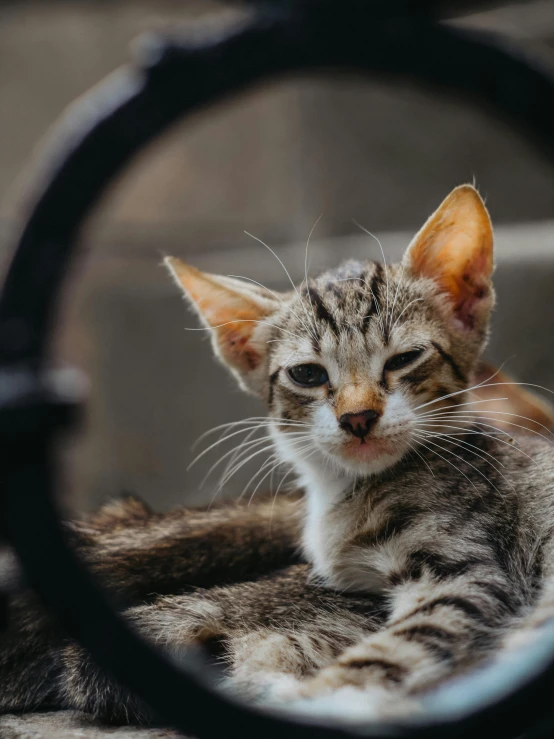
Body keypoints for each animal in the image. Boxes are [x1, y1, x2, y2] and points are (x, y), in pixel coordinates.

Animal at [0, 184, 548, 724]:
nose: (358, 417)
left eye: (405, 359)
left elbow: (400, 644)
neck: (345, 493)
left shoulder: (472, 573)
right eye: (307, 374)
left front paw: (324, 695)